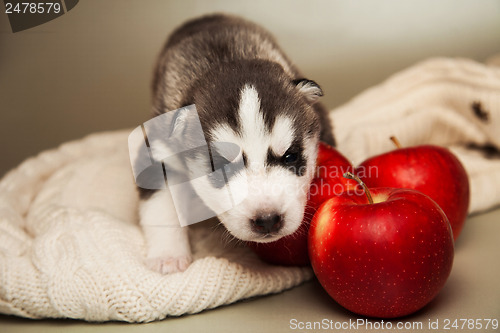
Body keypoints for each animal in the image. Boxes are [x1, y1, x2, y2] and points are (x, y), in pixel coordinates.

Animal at [137, 13, 334, 272]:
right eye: (220, 167)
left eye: (290, 156)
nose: (268, 220)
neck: (228, 57)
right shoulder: (158, 151)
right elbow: (162, 205)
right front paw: (167, 256)